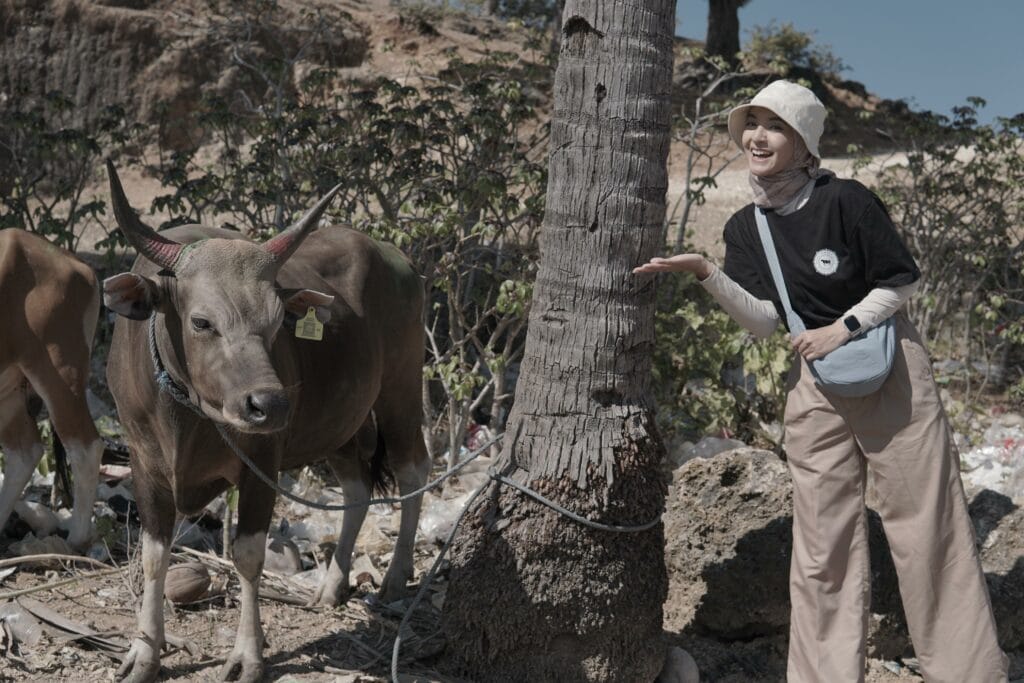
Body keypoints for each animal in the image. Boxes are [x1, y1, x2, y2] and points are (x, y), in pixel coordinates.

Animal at [104, 161, 432, 683]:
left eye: (278, 321)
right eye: (201, 322)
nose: (270, 405)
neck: (186, 413)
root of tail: (395, 256)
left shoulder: (261, 460)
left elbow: (248, 554)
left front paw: (247, 655)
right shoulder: (144, 461)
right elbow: (154, 555)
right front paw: (144, 653)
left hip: (401, 387)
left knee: (411, 470)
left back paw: (397, 576)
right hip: (339, 420)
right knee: (357, 488)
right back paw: (332, 585)